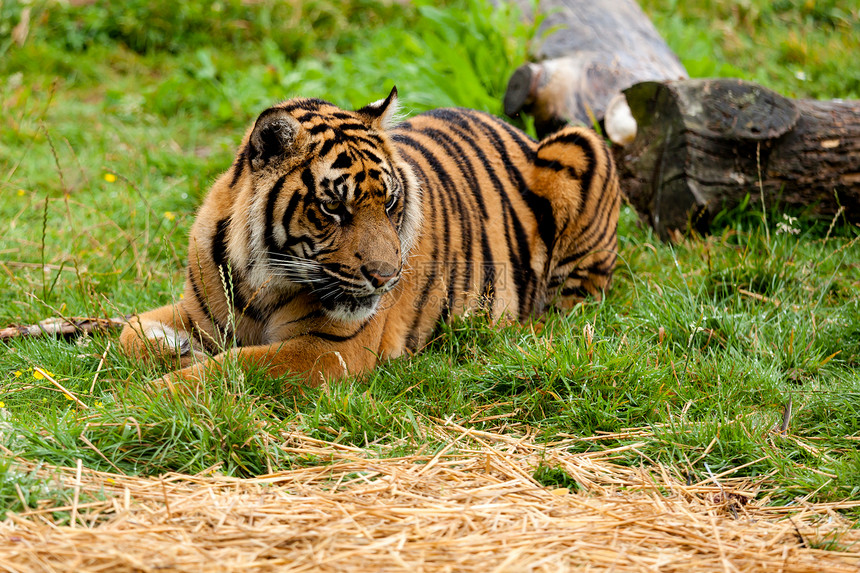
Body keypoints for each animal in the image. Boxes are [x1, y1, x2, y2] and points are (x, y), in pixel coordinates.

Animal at [119, 87, 620, 386]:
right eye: (332, 208)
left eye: (392, 203)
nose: (386, 277)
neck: (260, 280)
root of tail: (510, 125)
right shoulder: (198, 311)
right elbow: (130, 331)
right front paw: (178, 354)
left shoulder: (327, 349)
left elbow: (237, 365)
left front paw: (153, 397)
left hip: (581, 145)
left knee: (574, 307)